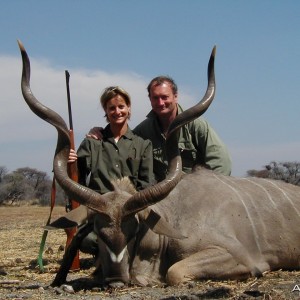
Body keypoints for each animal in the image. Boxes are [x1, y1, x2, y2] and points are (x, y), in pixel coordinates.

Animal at [18, 41, 300, 288]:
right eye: (99, 231)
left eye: (133, 231)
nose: (115, 280)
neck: (173, 216)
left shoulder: (236, 254)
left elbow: (175, 273)